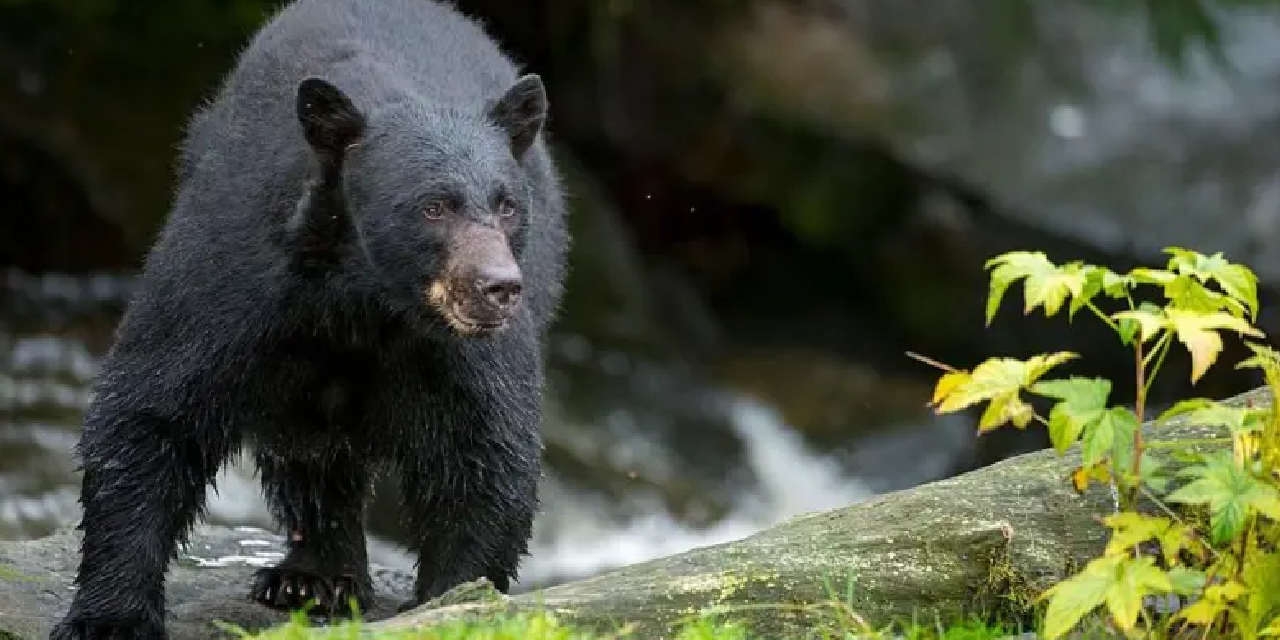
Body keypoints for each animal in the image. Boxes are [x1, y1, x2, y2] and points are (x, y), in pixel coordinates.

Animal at [49, 0, 568, 634]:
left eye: (507, 205)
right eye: (433, 206)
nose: (499, 288)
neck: (364, 299)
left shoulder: (459, 349)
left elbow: (485, 449)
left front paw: (454, 600)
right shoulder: (238, 275)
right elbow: (155, 407)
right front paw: (109, 617)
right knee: (308, 453)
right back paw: (313, 578)